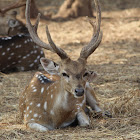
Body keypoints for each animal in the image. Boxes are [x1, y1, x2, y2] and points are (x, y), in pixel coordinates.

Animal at [18, 0, 103, 132]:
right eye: (64, 73)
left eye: (85, 73)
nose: (79, 91)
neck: (55, 118)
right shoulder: (29, 117)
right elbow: (45, 129)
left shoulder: (78, 107)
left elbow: (85, 122)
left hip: (89, 88)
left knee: (99, 107)